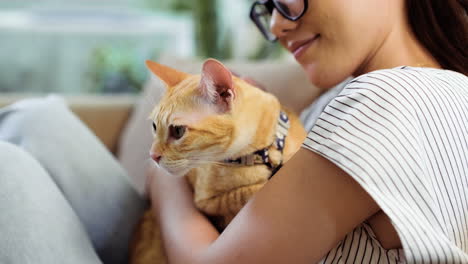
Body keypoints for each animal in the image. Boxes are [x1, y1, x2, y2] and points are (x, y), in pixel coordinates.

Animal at [131, 59, 308, 264]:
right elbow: (243, 193)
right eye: (154, 126)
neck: (262, 153)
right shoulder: (206, 201)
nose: (153, 155)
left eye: (178, 131)